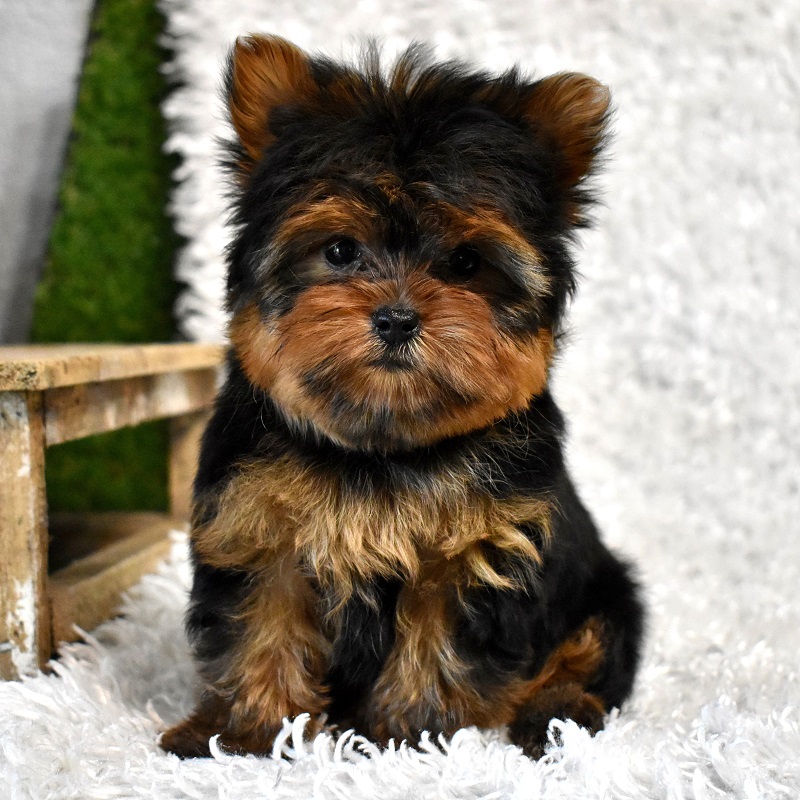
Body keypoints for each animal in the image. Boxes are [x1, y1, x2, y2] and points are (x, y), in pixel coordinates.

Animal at [161, 36, 644, 764]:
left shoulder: (476, 550)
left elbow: (437, 642)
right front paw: (248, 732)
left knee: (591, 654)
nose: (396, 317)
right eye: (340, 251)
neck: (382, 446)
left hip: (608, 592)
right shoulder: (255, 526)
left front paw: (408, 735)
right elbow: (262, 623)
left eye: (467, 264)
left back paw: (556, 714)